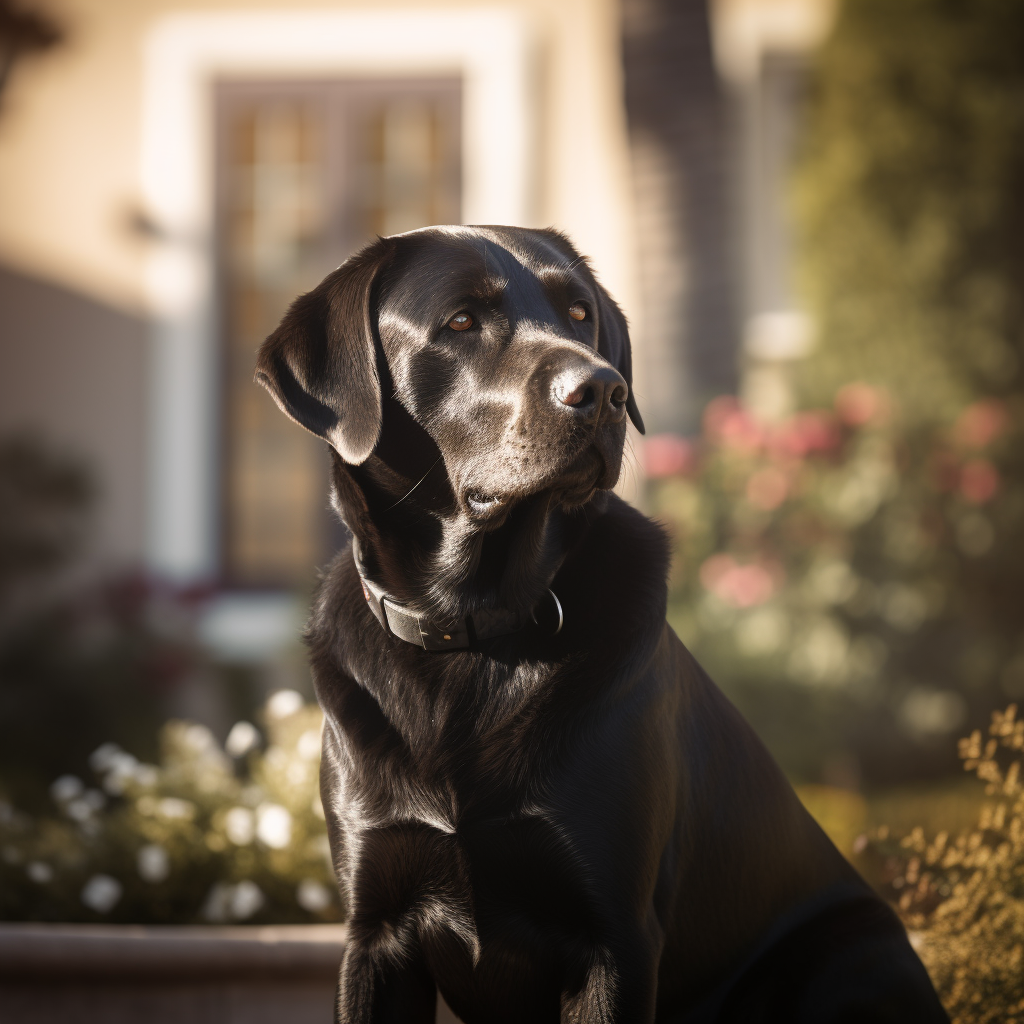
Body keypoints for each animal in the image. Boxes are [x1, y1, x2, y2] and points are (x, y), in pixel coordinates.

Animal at [258, 226, 950, 1024]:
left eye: (579, 313)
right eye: (460, 321)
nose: (605, 391)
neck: (474, 626)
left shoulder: (612, 936)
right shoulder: (376, 934)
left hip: (843, 956)